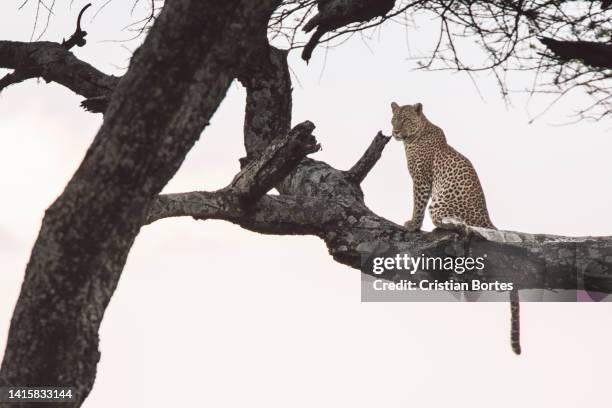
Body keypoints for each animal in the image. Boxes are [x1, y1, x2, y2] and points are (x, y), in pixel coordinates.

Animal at [392, 101, 520, 354]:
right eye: (394, 119)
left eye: (405, 120)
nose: (394, 132)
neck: (416, 136)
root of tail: (488, 219)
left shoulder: (422, 179)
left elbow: (417, 204)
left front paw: (413, 225)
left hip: (439, 203)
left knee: (462, 227)